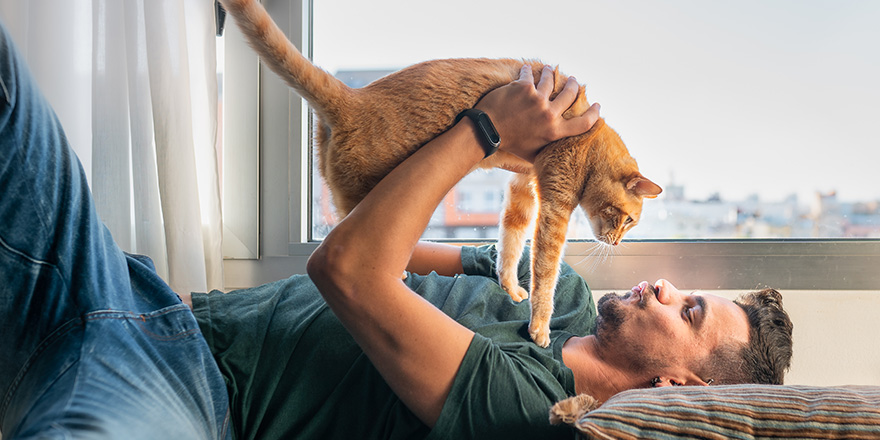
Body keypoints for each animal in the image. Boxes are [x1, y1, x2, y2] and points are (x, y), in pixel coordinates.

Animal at [220, 0, 660, 348]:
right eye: (628, 220)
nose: (618, 243)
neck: (589, 136)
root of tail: (355, 98)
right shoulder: (554, 208)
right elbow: (545, 271)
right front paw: (539, 326)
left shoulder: (523, 189)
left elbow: (510, 241)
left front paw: (508, 286)